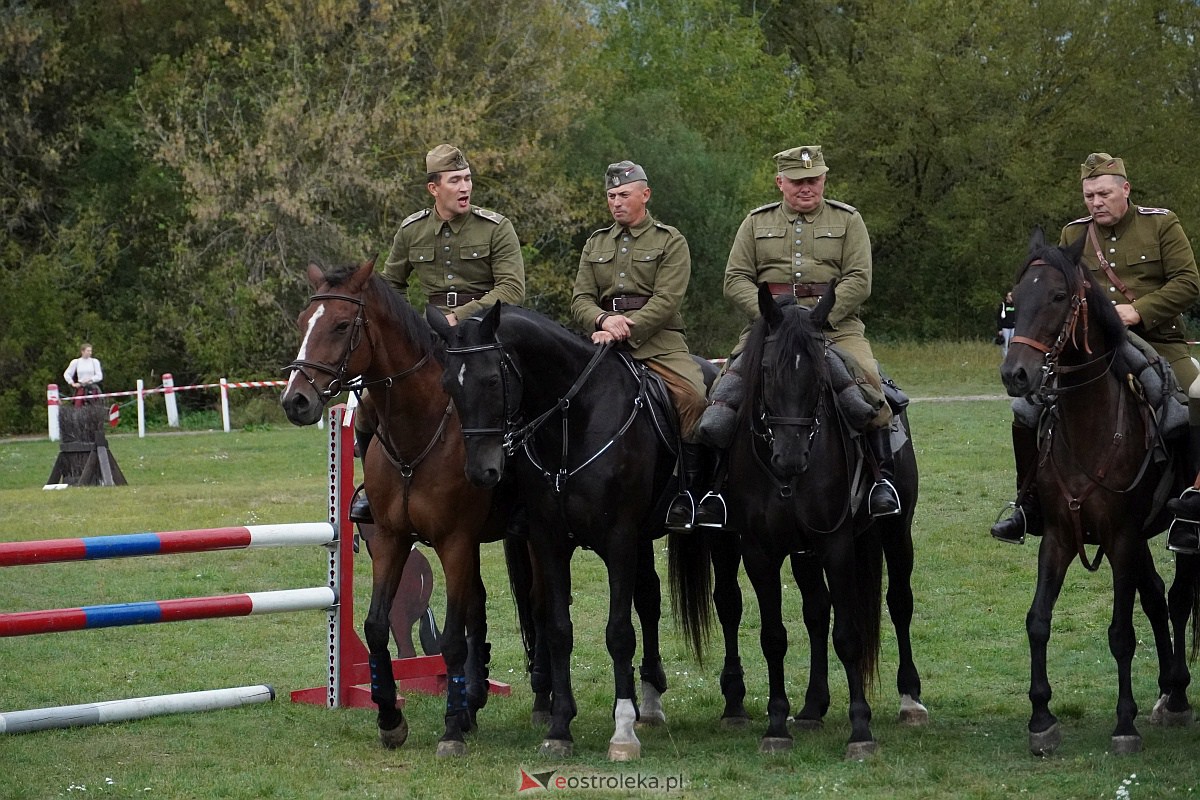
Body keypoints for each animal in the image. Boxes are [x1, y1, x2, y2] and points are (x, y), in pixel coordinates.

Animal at [283, 257, 528, 758]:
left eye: (342, 325)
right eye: (303, 322)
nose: (296, 400)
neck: (419, 429)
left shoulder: (455, 542)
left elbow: (451, 639)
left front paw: (450, 729)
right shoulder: (392, 539)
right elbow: (377, 626)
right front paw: (389, 717)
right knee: (477, 608)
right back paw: (472, 700)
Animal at [432, 303, 710, 762]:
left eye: (491, 379)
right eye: (448, 386)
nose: (481, 472)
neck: (571, 419)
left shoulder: (619, 540)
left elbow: (619, 633)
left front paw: (622, 732)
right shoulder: (549, 541)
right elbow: (559, 629)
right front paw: (560, 726)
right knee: (649, 599)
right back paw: (648, 700)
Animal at [715, 284, 921, 762]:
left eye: (819, 377)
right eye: (767, 371)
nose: (790, 458)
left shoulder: (837, 545)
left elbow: (848, 636)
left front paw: (861, 729)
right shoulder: (760, 552)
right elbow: (775, 636)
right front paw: (776, 726)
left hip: (896, 534)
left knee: (899, 603)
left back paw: (910, 699)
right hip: (804, 554)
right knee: (815, 611)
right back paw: (811, 708)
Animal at [1003, 227, 1180, 753]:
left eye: (1059, 296)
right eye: (1016, 298)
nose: (1016, 374)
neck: (1089, 422)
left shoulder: (1121, 538)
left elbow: (1121, 632)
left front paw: (1125, 723)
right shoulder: (1060, 536)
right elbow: (1038, 620)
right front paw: (1041, 718)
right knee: (1157, 595)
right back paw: (1172, 690)